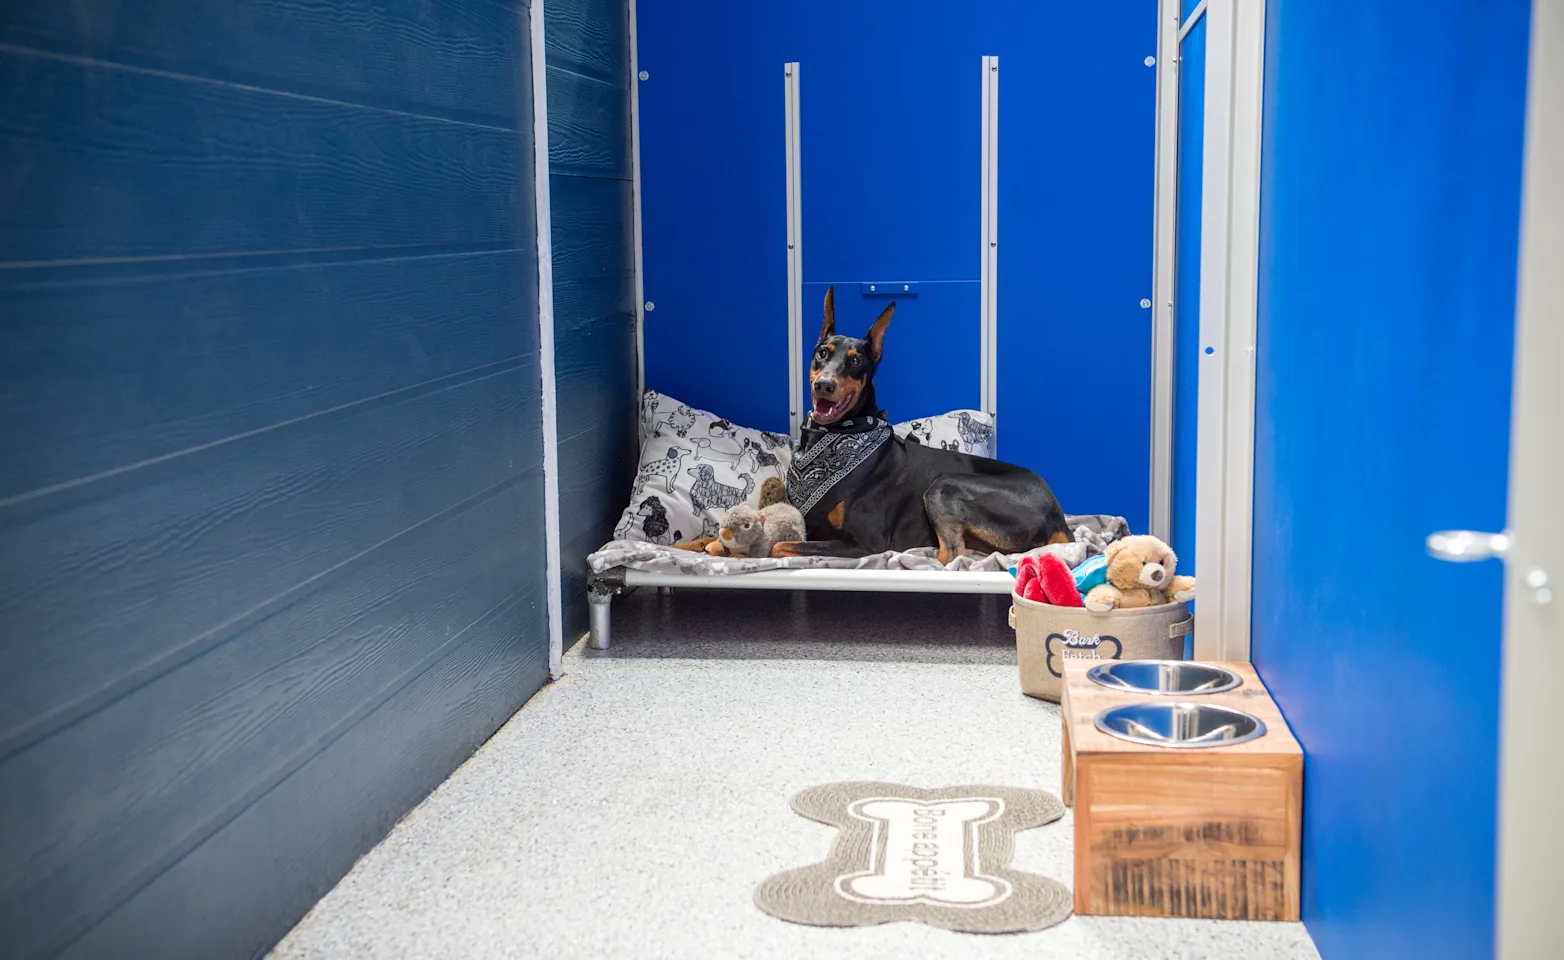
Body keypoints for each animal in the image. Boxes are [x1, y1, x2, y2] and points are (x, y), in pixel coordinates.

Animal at [678, 286, 1069, 562]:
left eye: (855, 362)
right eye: (822, 352)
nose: (825, 385)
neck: (835, 436)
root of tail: (1058, 516)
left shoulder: (864, 542)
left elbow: (776, 545)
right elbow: (712, 535)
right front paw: (692, 544)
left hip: (944, 485)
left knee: (953, 556)